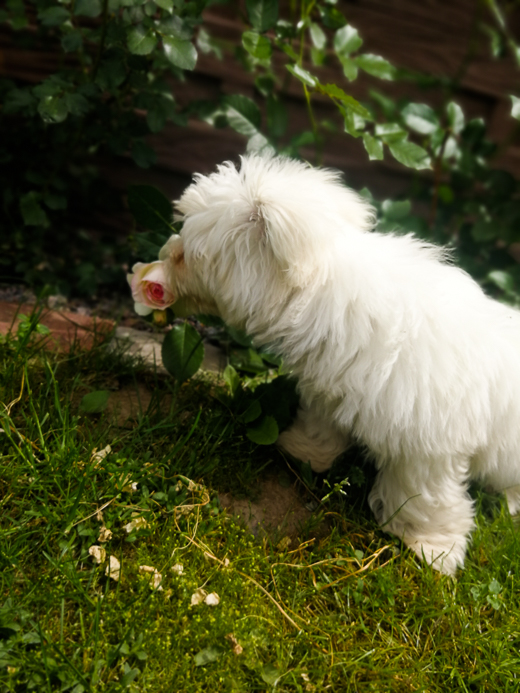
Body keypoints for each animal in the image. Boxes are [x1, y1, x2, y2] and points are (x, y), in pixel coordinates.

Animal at [159, 155, 520, 572]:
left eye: (190, 254)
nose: (167, 251)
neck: (328, 294)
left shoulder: (427, 445)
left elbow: (423, 495)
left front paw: (430, 548)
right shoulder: (331, 391)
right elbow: (320, 426)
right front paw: (303, 451)